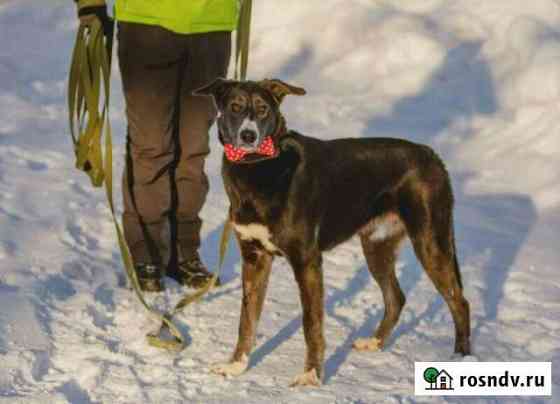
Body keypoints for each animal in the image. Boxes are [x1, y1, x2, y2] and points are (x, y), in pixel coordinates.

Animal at [195, 78, 470, 386]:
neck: (259, 167)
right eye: (235, 107)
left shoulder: (307, 260)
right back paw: (374, 342)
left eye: (263, 109)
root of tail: (432, 156)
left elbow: (311, 323)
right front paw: (236, 366)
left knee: (459, 301)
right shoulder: (254, 257)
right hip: (376, 245)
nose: (248, 135)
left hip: (430, 241)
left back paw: (461, 358)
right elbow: (247, 319)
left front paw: (310, 377)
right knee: (396, 298)